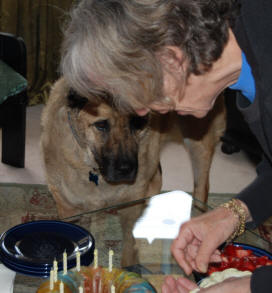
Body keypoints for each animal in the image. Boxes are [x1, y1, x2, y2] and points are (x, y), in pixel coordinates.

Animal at [41, 76, 225, 266]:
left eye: (137, 122)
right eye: (101, 125)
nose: (126, 170)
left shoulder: (131, 204)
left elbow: (129, 247)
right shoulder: (69, 209)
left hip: (198, 143)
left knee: (201, 188)